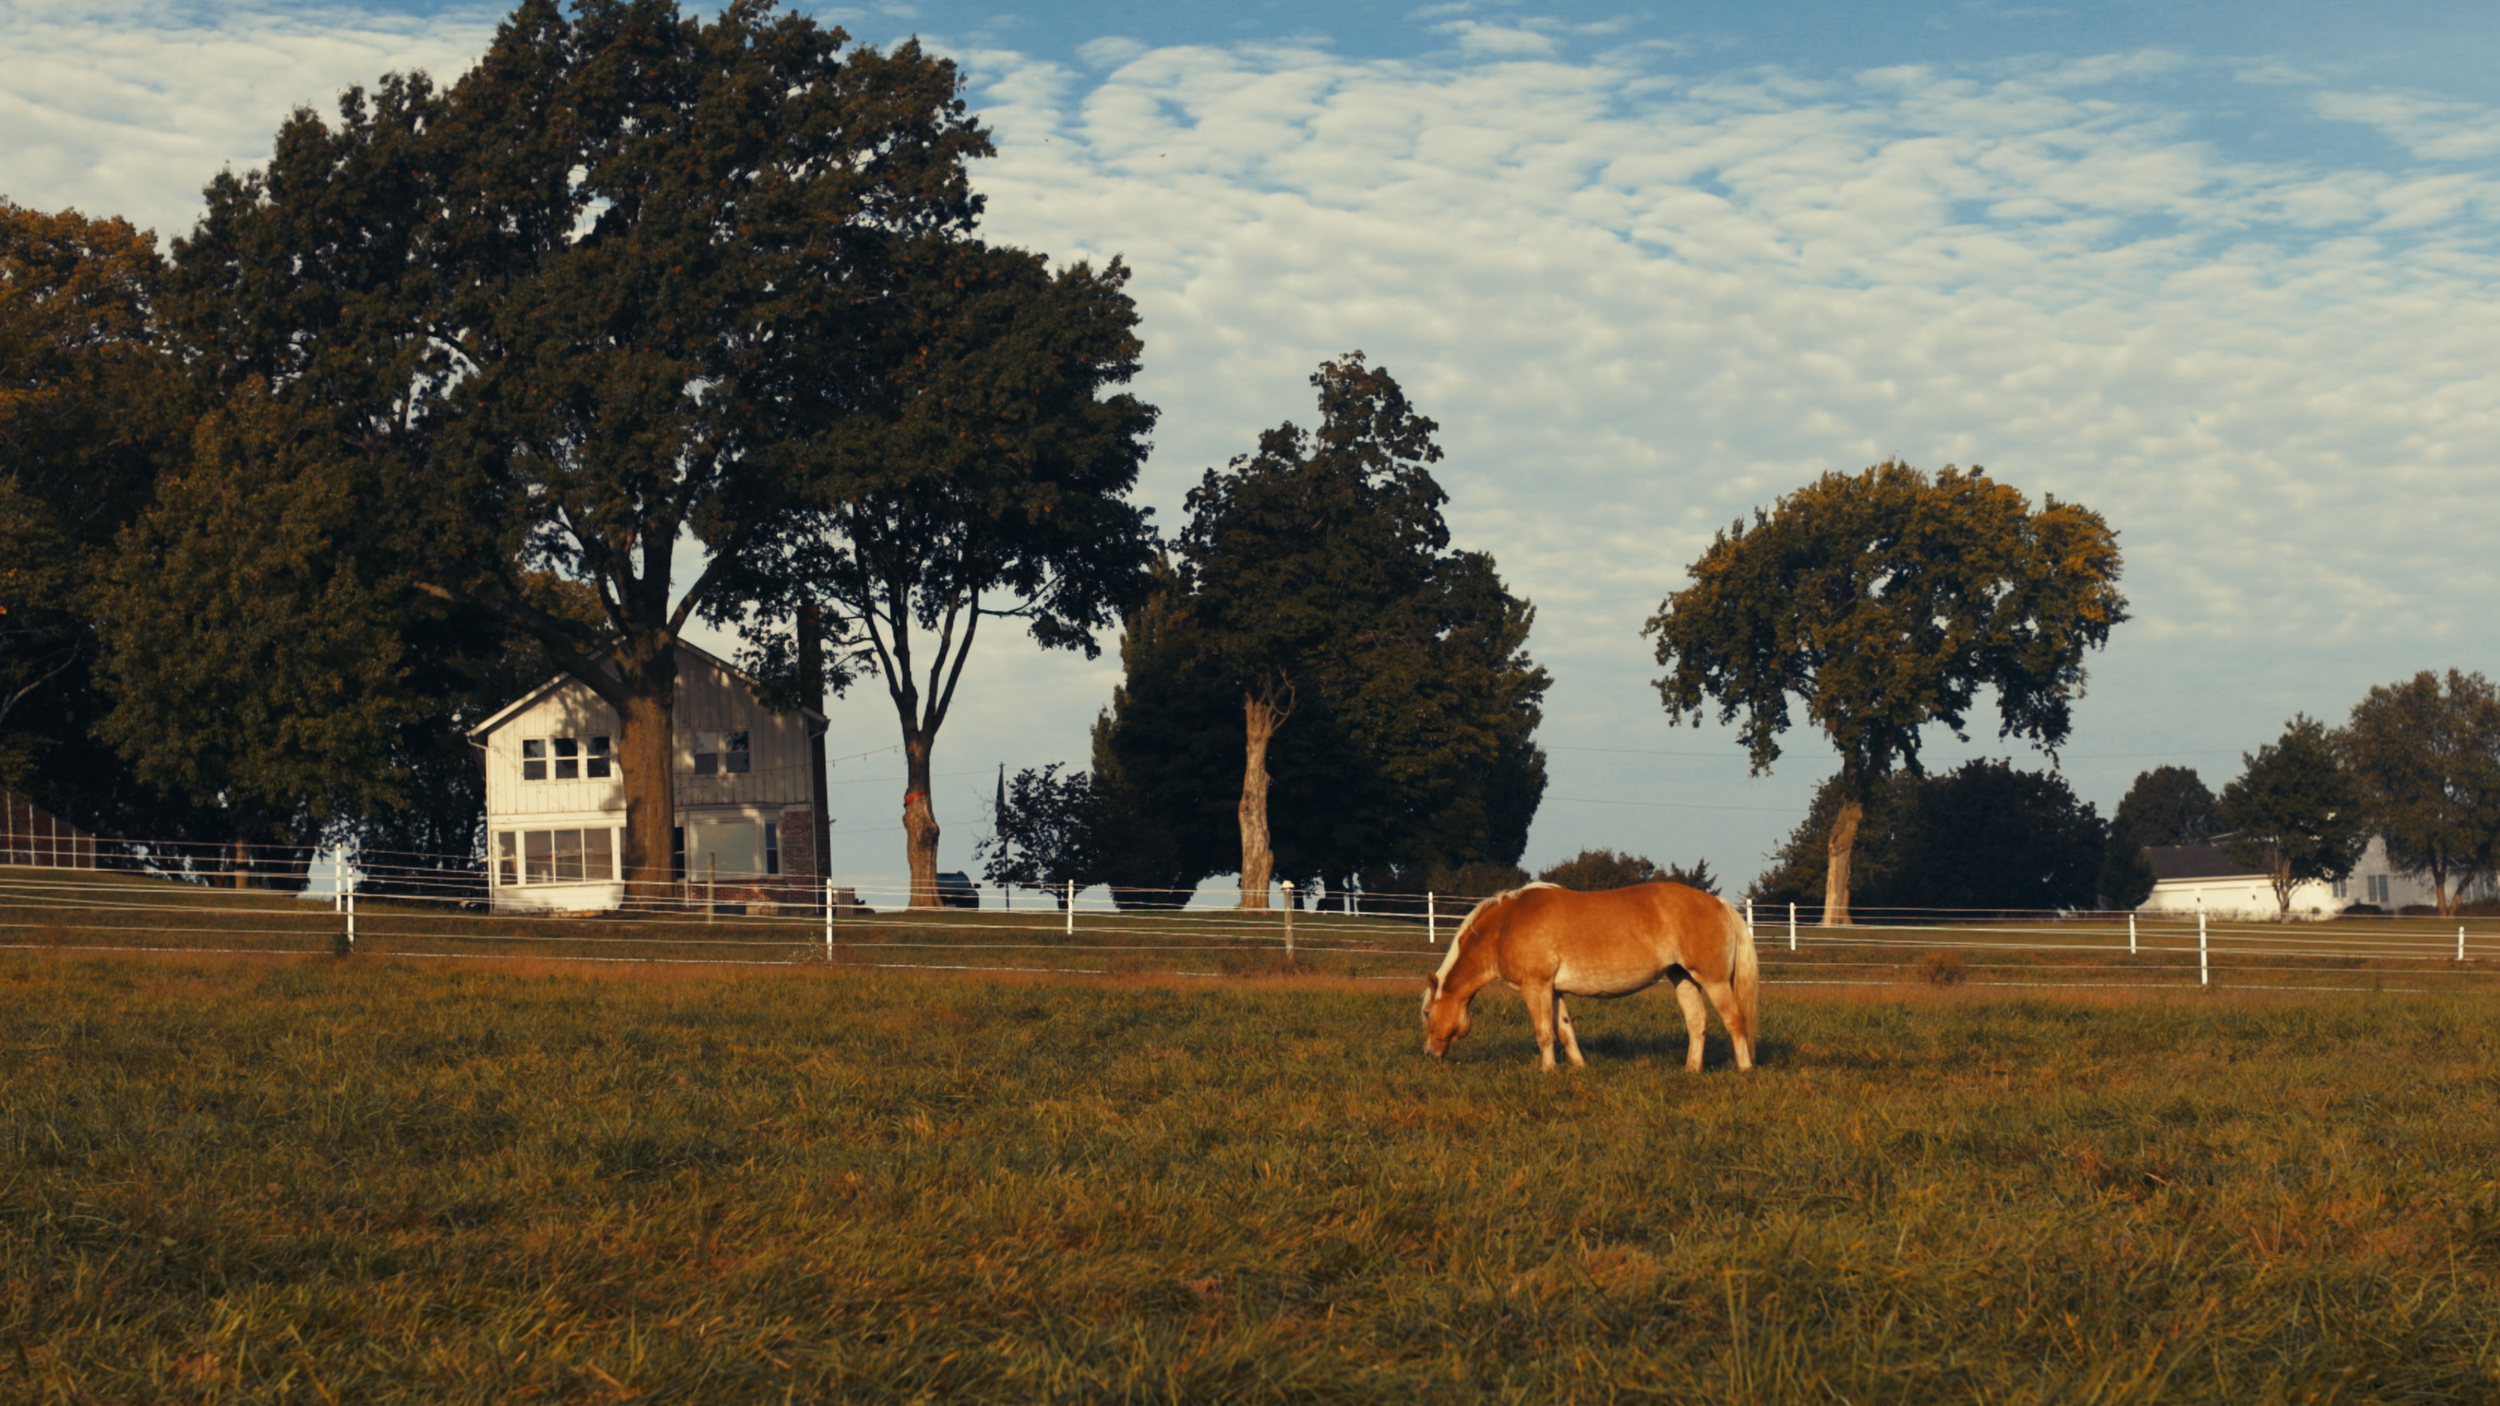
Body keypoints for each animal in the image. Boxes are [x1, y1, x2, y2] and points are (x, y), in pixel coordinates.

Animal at [1421, 881, 1758, 1072]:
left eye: (1426, 1012)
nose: (1428, 1055)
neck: (1506, 923)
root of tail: (1719, 904)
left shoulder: (1535, 986)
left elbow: (1543, 1032)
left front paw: (1548, 1071)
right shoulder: (1553, 991)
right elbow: (1564, 1030)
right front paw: (1579, 1068)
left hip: (1713, 980)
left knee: (1734, 1020)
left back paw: (1744, 1069)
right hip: (1683, 978)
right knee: (1697, 1023)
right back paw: (1691, 1070)